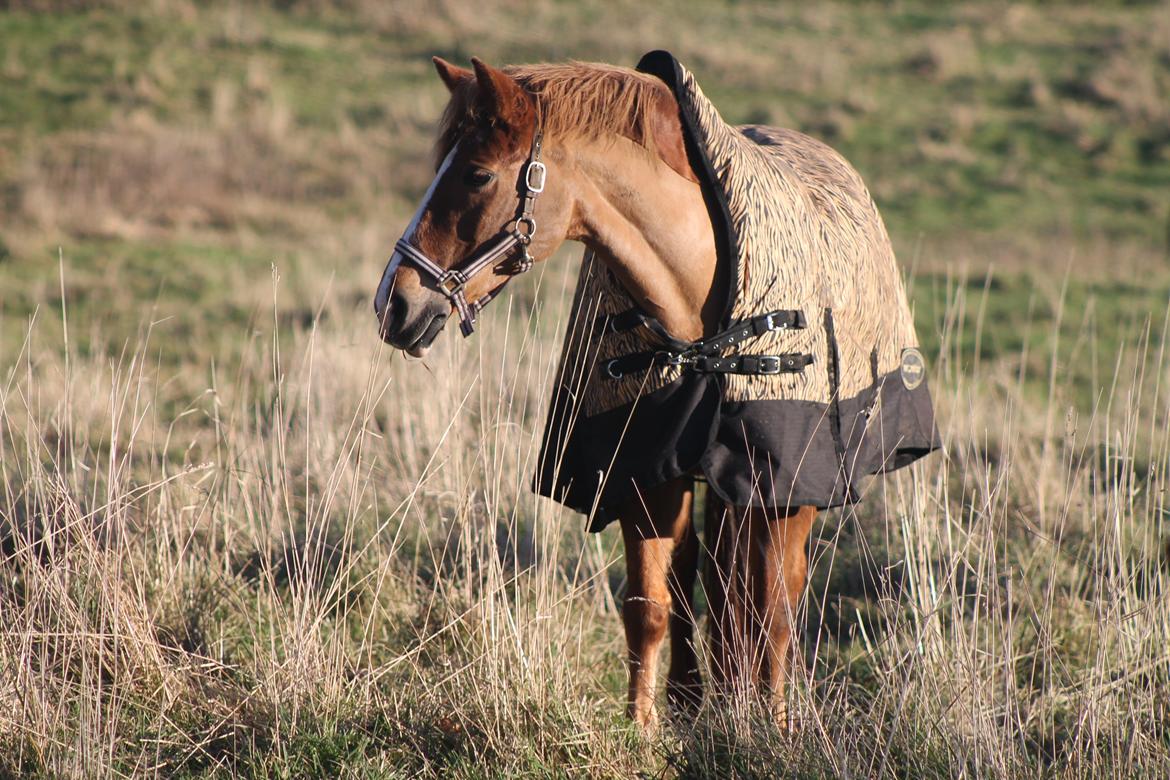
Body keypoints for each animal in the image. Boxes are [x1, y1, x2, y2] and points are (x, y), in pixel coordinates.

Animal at [374, 53, 940, 725]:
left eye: (478, 174)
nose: (394, 303)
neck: (699, 311)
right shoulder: (645, 472)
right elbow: (651, 604)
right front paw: (643, 727)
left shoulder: (783, 486)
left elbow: (774, 606)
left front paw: (772, 724)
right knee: (707, 576)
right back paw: (696, 697)